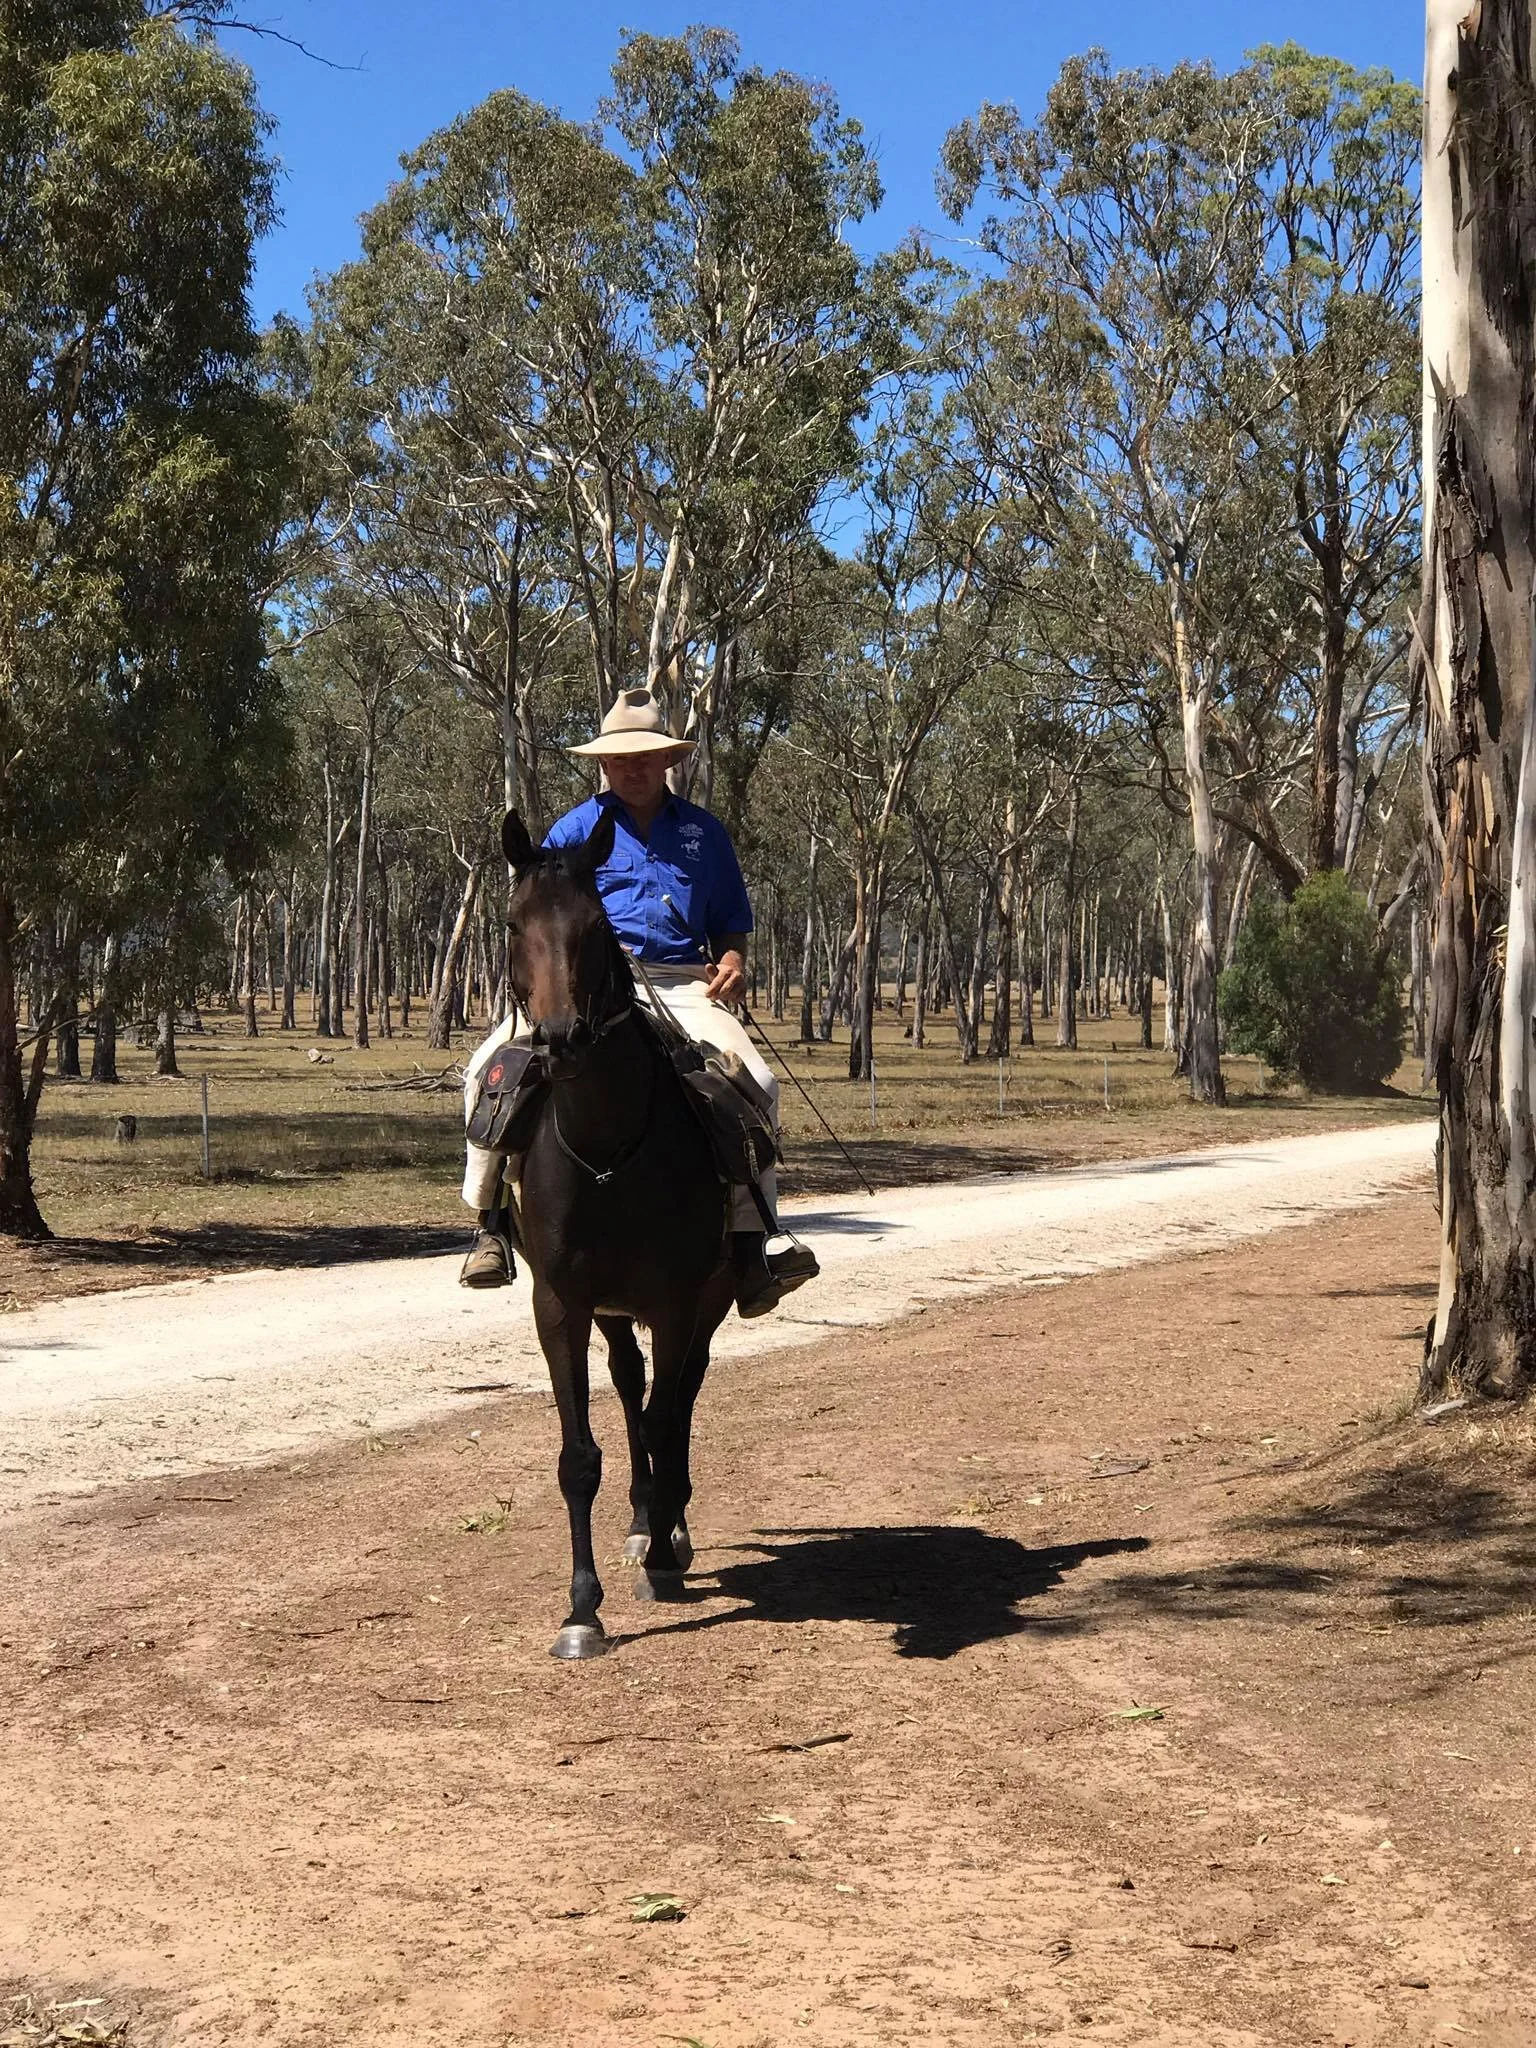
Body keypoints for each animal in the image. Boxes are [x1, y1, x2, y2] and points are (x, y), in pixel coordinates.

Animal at [499, 806, 737, 1660]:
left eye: (597, 927)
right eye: (513, 924)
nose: (561, 1038)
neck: (605, 1149)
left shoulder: (675, 1301)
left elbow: (670, 1419)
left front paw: (666, 1557)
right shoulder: (561, 1306)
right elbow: (579, 1456)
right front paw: (581, 1611)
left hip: (705, 1303)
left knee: (680, 1395)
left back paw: (670, 1526)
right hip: (613, 1312)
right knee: (633, 1388)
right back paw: (642, 1519)